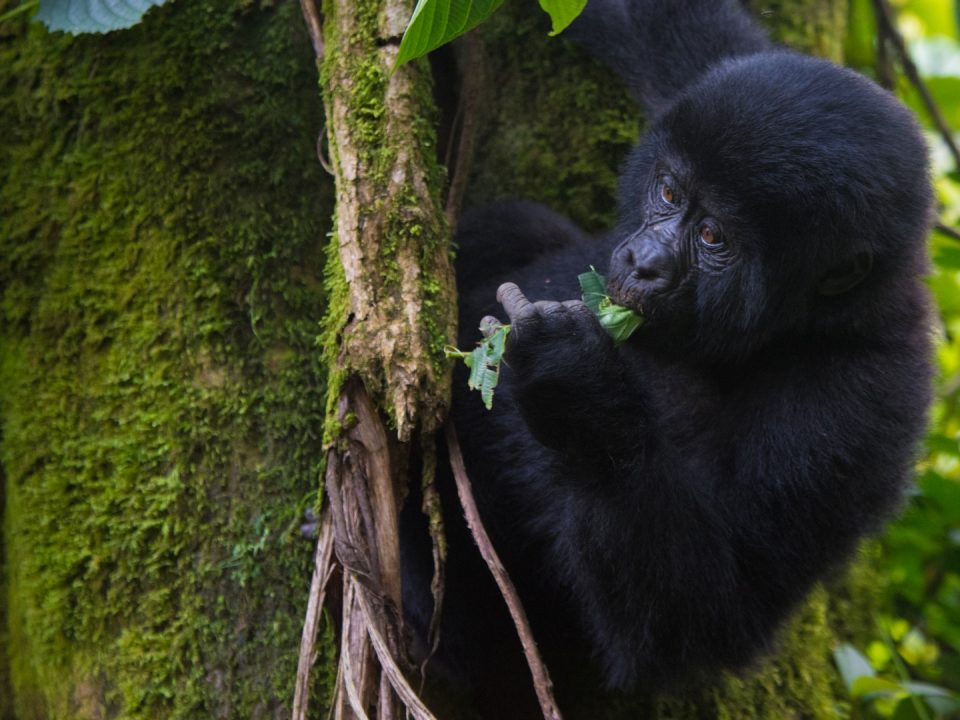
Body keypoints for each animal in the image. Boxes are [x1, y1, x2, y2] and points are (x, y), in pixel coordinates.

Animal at [402, 0, 932, 704]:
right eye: (671, 194)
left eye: (712, 237)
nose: (643, 263)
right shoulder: (725, 77)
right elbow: (655, 22)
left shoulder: (862, 404)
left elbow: (703, 623)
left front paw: (579, 396)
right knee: (514, 226)